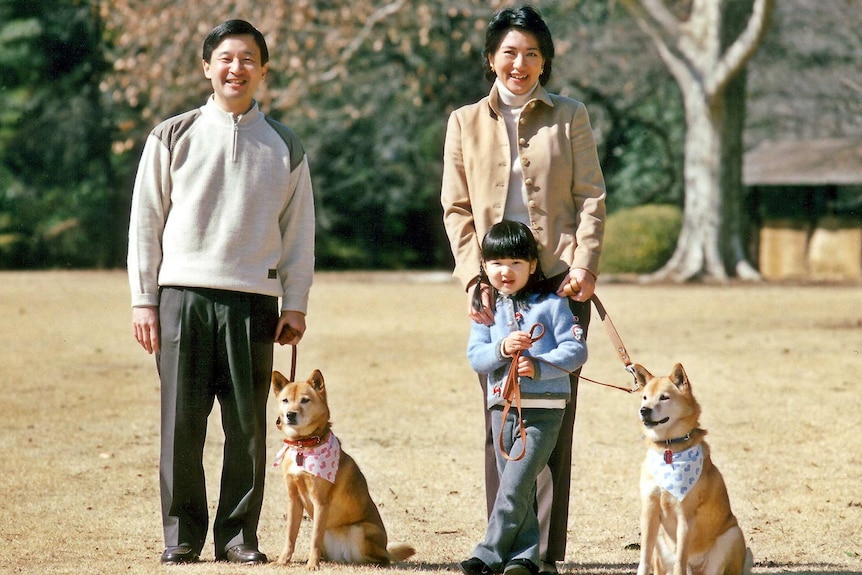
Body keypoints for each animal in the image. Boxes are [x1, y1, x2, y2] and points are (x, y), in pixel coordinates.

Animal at [272, 372, 416, 568]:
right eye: (285, 400)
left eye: (305, 400)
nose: (290, 415)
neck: (304, 445)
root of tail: (346, 556)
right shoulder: (294, 499)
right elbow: (290, 537)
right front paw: (282, 561)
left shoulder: (320, 502)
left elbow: (314, 538)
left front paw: (312, 565)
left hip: (362, 530)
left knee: (384, 557)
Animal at [632, 364, 752, 575]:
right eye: (645, 397)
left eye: (664, 397)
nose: (644, 410)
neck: (669, 448)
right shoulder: (649, 511)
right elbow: (644, 559)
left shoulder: (685, 516)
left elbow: (680, 561)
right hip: (660, 544)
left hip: (732, 534)